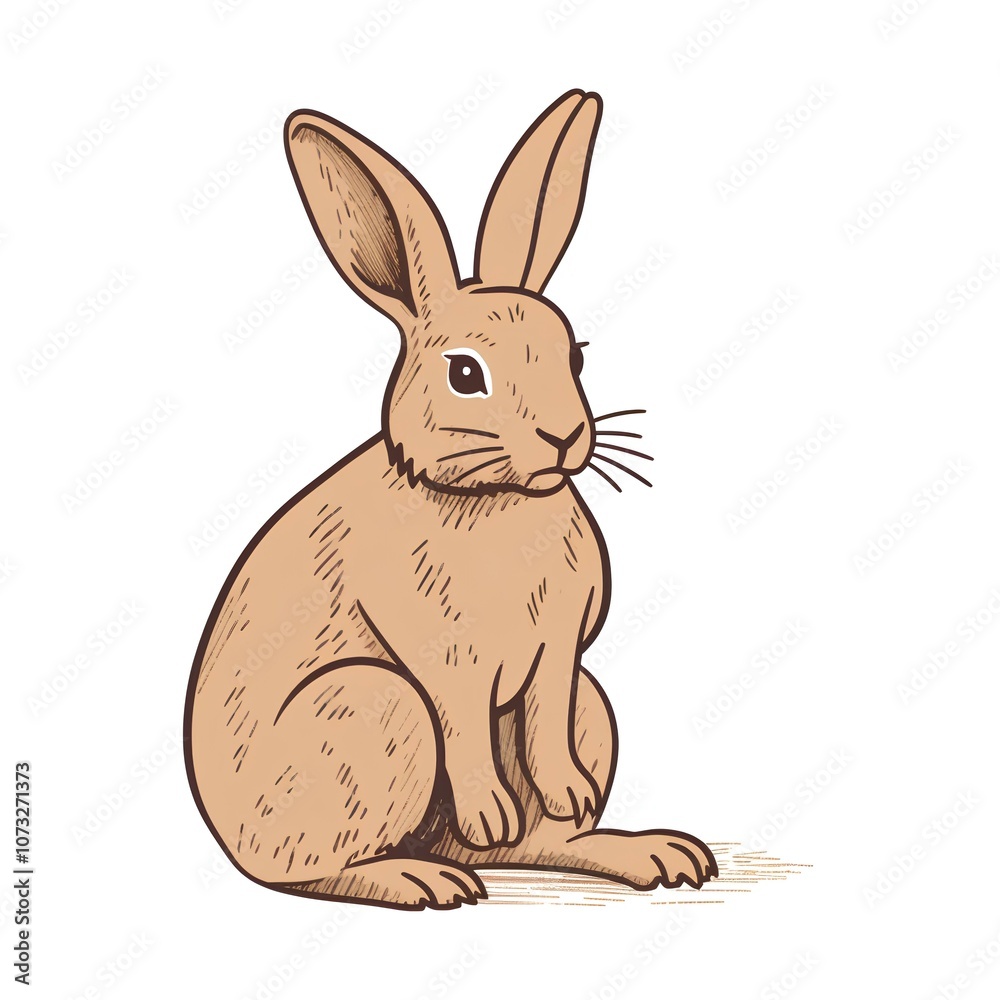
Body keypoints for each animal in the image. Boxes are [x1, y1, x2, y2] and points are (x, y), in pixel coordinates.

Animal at [183, 89, 717, 910]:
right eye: (465, 374)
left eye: (574, 355)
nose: (564, 437)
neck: (492, 499)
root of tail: (224, 828)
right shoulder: (444, 658)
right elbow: (462, 724)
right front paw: (488, 811)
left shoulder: (559, 651)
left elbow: (545, 726)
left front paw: (569, 793)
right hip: (377, 710)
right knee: (309, 869)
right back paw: (426, 877)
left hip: (588, 703)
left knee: (541, 842)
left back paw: (646, 852)